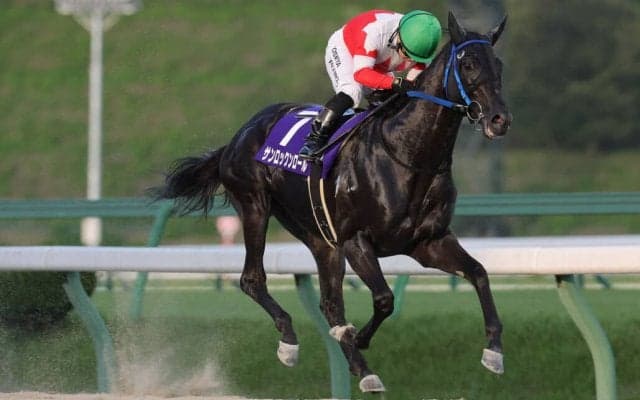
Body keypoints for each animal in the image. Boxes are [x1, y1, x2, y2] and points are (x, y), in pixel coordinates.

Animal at [155, 12, 511, 393]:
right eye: (469, 63)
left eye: (499, 65)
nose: (499, 120)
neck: (408, 154)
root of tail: (239, 136)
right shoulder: (356, 240)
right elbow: (384, 299)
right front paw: (361, 338)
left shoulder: (428, 242)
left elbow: (478, 273)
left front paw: (494, 352)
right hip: (254, 207)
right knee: (252, 279)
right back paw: (292, 343)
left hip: (319, 237)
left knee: (328, 303)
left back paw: (361, 367)